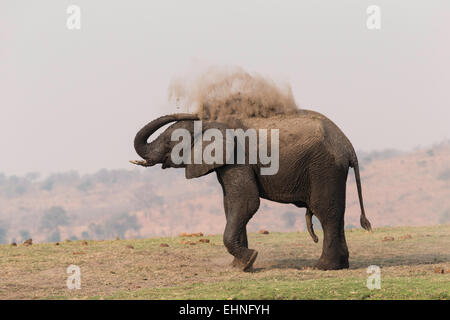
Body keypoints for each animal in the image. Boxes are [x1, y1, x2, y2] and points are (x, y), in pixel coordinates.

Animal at [131, 109, 372, 270]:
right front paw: (240, 266)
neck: (212, 124)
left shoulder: (237, 158)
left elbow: (246, 202)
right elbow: (230, 204)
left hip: (324, 167)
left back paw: (322, 267)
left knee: (326, 211)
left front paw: (249, 260)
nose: (195, 114)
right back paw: (341, 265)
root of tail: (348, 146)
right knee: (336, 213)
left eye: (170, 144)